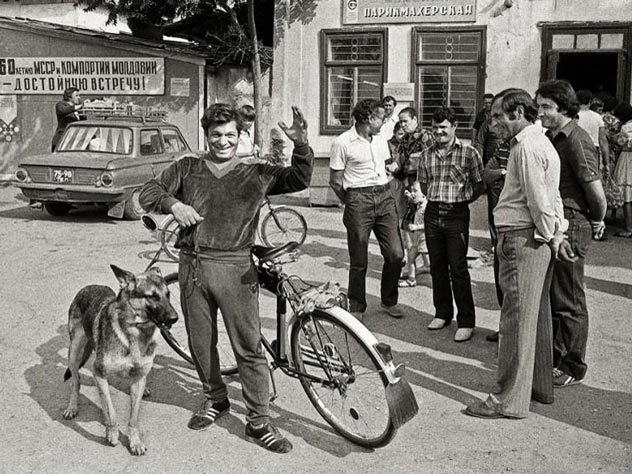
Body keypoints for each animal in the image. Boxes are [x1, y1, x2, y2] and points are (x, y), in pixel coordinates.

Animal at [62, 265, 178, 455]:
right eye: (152, 296)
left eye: (168, 294)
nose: (174, 318)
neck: (135, 332)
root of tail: (89, 286)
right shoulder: (98, 372)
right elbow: (111, 410)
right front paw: (112, 432)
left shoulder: (138, 378)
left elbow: (133, 417)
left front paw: (135, 441)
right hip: (74, 351)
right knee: (76, 382)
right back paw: (72, 407)